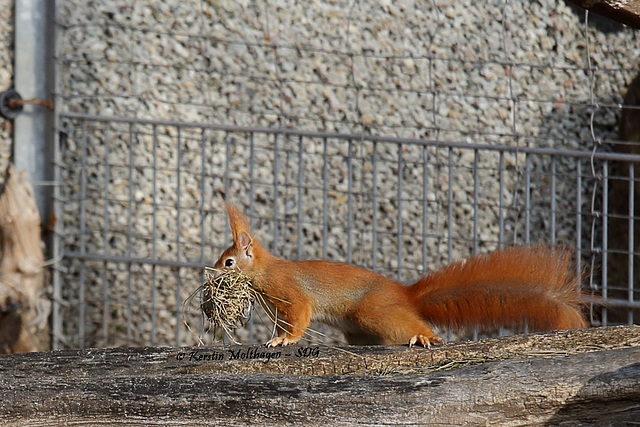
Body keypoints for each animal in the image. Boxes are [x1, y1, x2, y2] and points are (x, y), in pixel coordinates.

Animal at [216, 204, 592, 348]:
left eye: (229, 263)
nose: (214, 275)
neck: (266, 270)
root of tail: (404, 294)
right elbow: (284, 324)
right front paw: (278, 339)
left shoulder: (291, 294)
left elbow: (298, 319)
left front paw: (285, 341)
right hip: (360, 329)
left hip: (376, 313)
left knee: (412, 325)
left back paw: (426, 337)